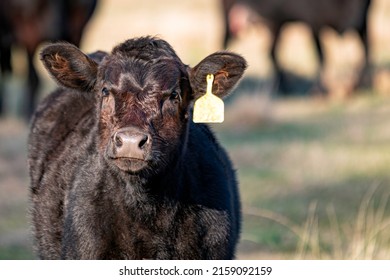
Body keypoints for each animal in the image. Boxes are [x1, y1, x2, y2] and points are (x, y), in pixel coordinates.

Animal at [222, 0, 372, 94]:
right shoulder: (312, 22)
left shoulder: (362, 18)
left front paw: (360, 83)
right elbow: (321, 55)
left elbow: (365, 48)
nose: (246, 18)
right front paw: (320, 89)